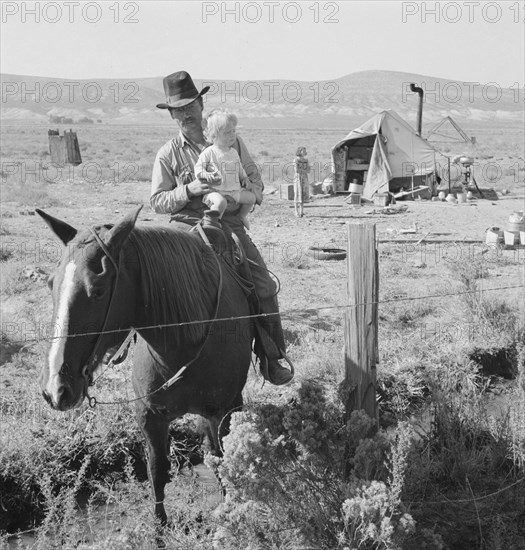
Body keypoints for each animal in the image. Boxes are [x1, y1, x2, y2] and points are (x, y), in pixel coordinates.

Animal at [35, 207, 253, 528]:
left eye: (98, 290)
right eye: (51, 283)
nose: (54, 389)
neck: (181, 344)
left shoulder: (221, 413)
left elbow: (223, 459)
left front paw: (229, 514)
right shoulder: (149, 416)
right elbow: (157, 470)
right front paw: (159, 526)